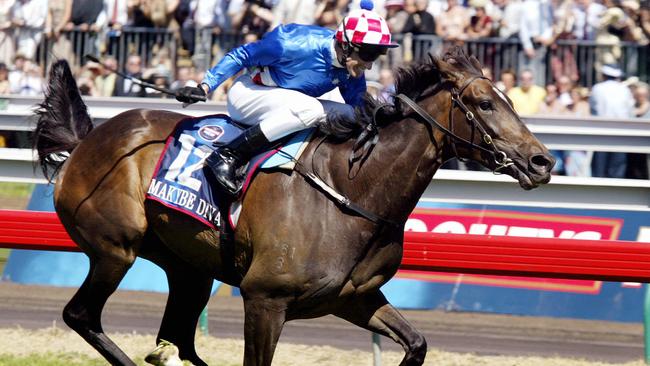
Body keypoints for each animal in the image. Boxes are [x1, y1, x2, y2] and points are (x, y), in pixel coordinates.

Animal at [33, 46, 552, 366]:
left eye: (509, 97)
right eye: (485, 103)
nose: (542, 161)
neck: (351, 190)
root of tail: (88, 140)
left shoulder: (354, 297)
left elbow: (417, 344)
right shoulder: (265, 299)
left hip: (188, 269)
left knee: (178, 339)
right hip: (115, 250)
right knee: (82, 315)